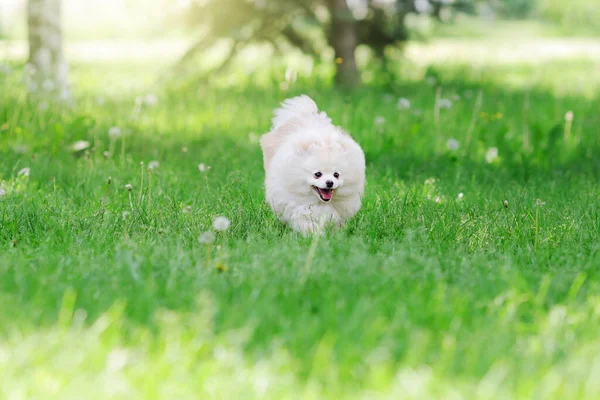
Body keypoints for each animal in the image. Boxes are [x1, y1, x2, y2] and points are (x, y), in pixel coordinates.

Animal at [262, 96, 366, 234]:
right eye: (317, 174)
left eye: (336, 175)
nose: (329, 183)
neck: (320, 202)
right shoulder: (297, 207)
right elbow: (306, 222)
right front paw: (314, 234)